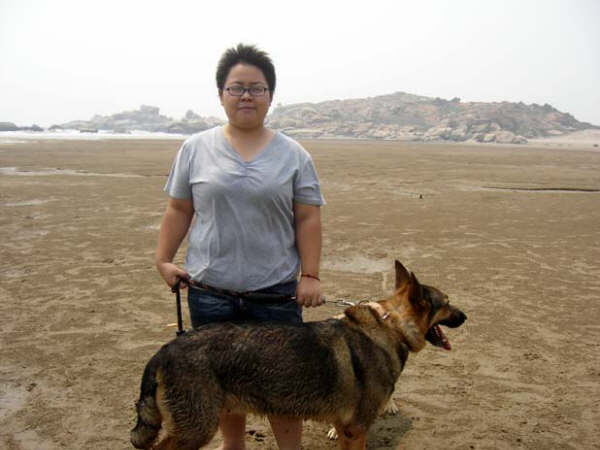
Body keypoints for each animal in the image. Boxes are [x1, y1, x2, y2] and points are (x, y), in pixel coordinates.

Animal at [131, 260, 466, 449]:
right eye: (448, 303)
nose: (466, 316)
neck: (391, 325)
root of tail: (164, 350)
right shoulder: (355, 430)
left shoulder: (346, 429)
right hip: (197, 430)